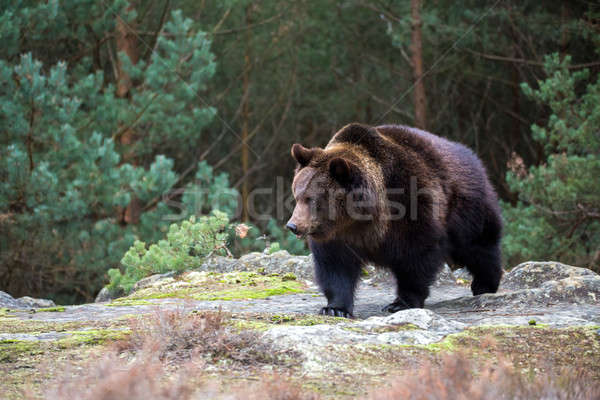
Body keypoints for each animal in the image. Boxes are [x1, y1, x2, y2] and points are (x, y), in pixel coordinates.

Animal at [286, 123, 502, 318]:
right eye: (297, 195)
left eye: (311, 199)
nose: (293, 225)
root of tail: (471, 156)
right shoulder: (337, 234)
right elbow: (335, 265)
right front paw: (335, 308)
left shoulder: (411, 204)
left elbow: (416, 257)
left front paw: (400, 303)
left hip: (465, 208)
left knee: (478, 246)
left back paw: (484, 284)